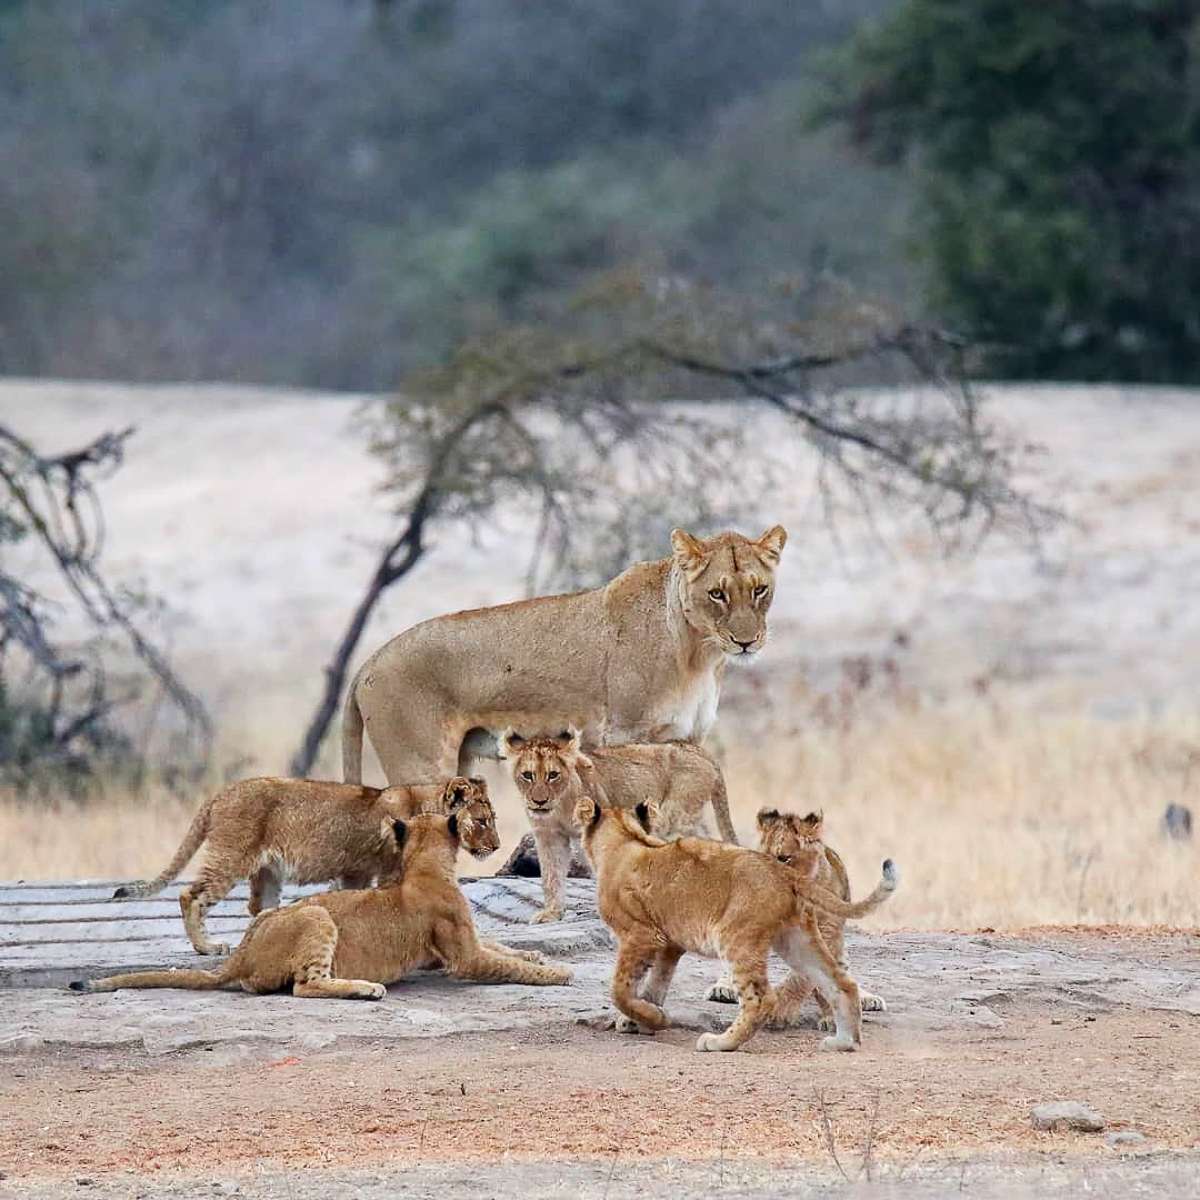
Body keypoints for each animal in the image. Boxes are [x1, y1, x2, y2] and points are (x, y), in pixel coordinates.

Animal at [71, 805, 572, 999]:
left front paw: (535, 952)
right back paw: (366, 988)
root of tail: (238, 957)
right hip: (315, 913)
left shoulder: (453, 949)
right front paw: (558, 973)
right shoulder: (463, 958)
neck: (422, 865)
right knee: (304, 986)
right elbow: (505, 964)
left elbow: (504, 948)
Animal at [112, 775, 492, 955]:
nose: (497, 846)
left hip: (266, 872)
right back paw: (207, 947)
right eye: (483, 821)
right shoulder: (387, 869)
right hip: (231, 857)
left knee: (259, 909)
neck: (423, 805)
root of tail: (219, 795)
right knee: (190, 897)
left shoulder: (355, 870)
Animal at [342, 525, 787, 785]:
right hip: (420, 765)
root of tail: (366, 663)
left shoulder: (689, 738)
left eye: (759, 589)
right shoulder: (625, 735)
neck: (700, 653)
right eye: (717, 593)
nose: (747, 642)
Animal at [499, 726, 736, 923]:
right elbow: (551, 875)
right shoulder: (549, 836)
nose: (539, 802)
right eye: (527, 776)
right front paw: (551, 913)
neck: (560, 805)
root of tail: (702, 751)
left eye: (553, 775)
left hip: (674, 818)